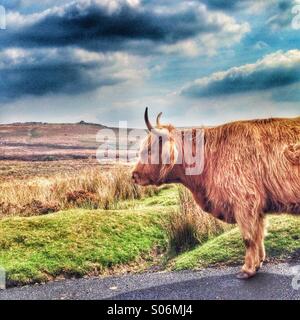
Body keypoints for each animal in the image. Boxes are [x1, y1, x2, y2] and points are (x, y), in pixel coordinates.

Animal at [133, 107, 300, 278]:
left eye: (149, 149)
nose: (134, 175)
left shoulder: (244, 201)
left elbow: (248, 238)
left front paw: (247, 270)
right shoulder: (258, 207)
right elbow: (258, 234)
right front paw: (258, 263)